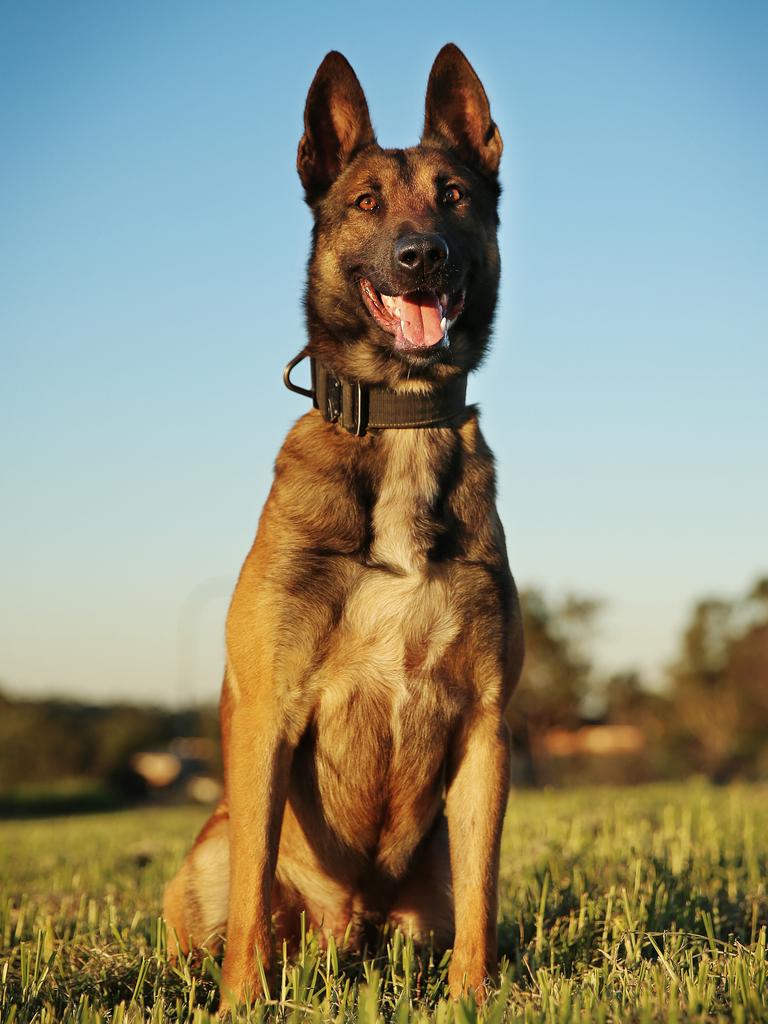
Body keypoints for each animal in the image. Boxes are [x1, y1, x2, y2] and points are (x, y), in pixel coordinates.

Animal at [161, 41, 524, 1007]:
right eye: (364, 202)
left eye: (455, 195)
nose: (420, 256)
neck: (397, 421)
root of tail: (347, 929)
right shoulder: (269, 715)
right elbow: (254, 894)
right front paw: (241, 1008)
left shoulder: (486, 725)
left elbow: (483, 897)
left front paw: (471, 1002)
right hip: (208, 849)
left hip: (423, 890)